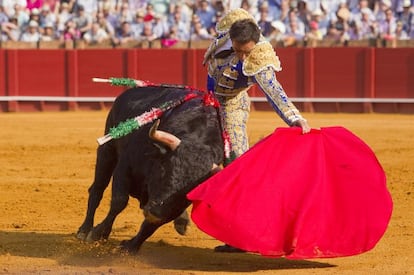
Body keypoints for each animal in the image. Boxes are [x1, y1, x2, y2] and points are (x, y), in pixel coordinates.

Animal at [77, 86, 226, 254]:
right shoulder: (124, 167)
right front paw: (98, 233)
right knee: (97, 189)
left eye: (188, 193)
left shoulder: (171, 207)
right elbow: (119, 201)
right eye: (165, 170)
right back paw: (84, 229)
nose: (154, 213)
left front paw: (130, 246)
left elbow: (152, 225)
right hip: (107, 151)